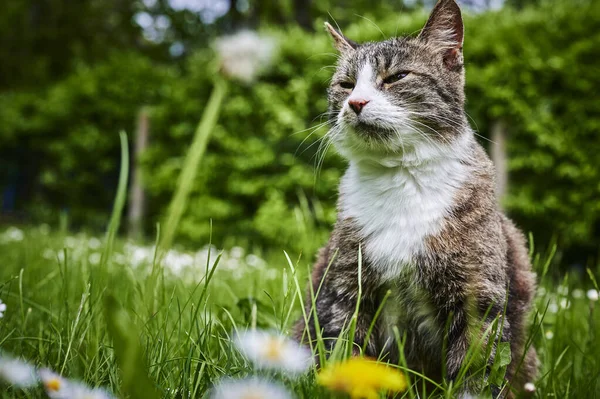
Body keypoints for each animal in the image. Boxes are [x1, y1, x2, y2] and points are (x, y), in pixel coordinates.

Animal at [296, 0, 540, 396]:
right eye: (345, 84)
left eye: (396, 77)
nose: (356, 102)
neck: (400, 178)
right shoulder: (346, 289)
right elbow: (345, 351)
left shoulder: (477, 298)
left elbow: (476, 370)